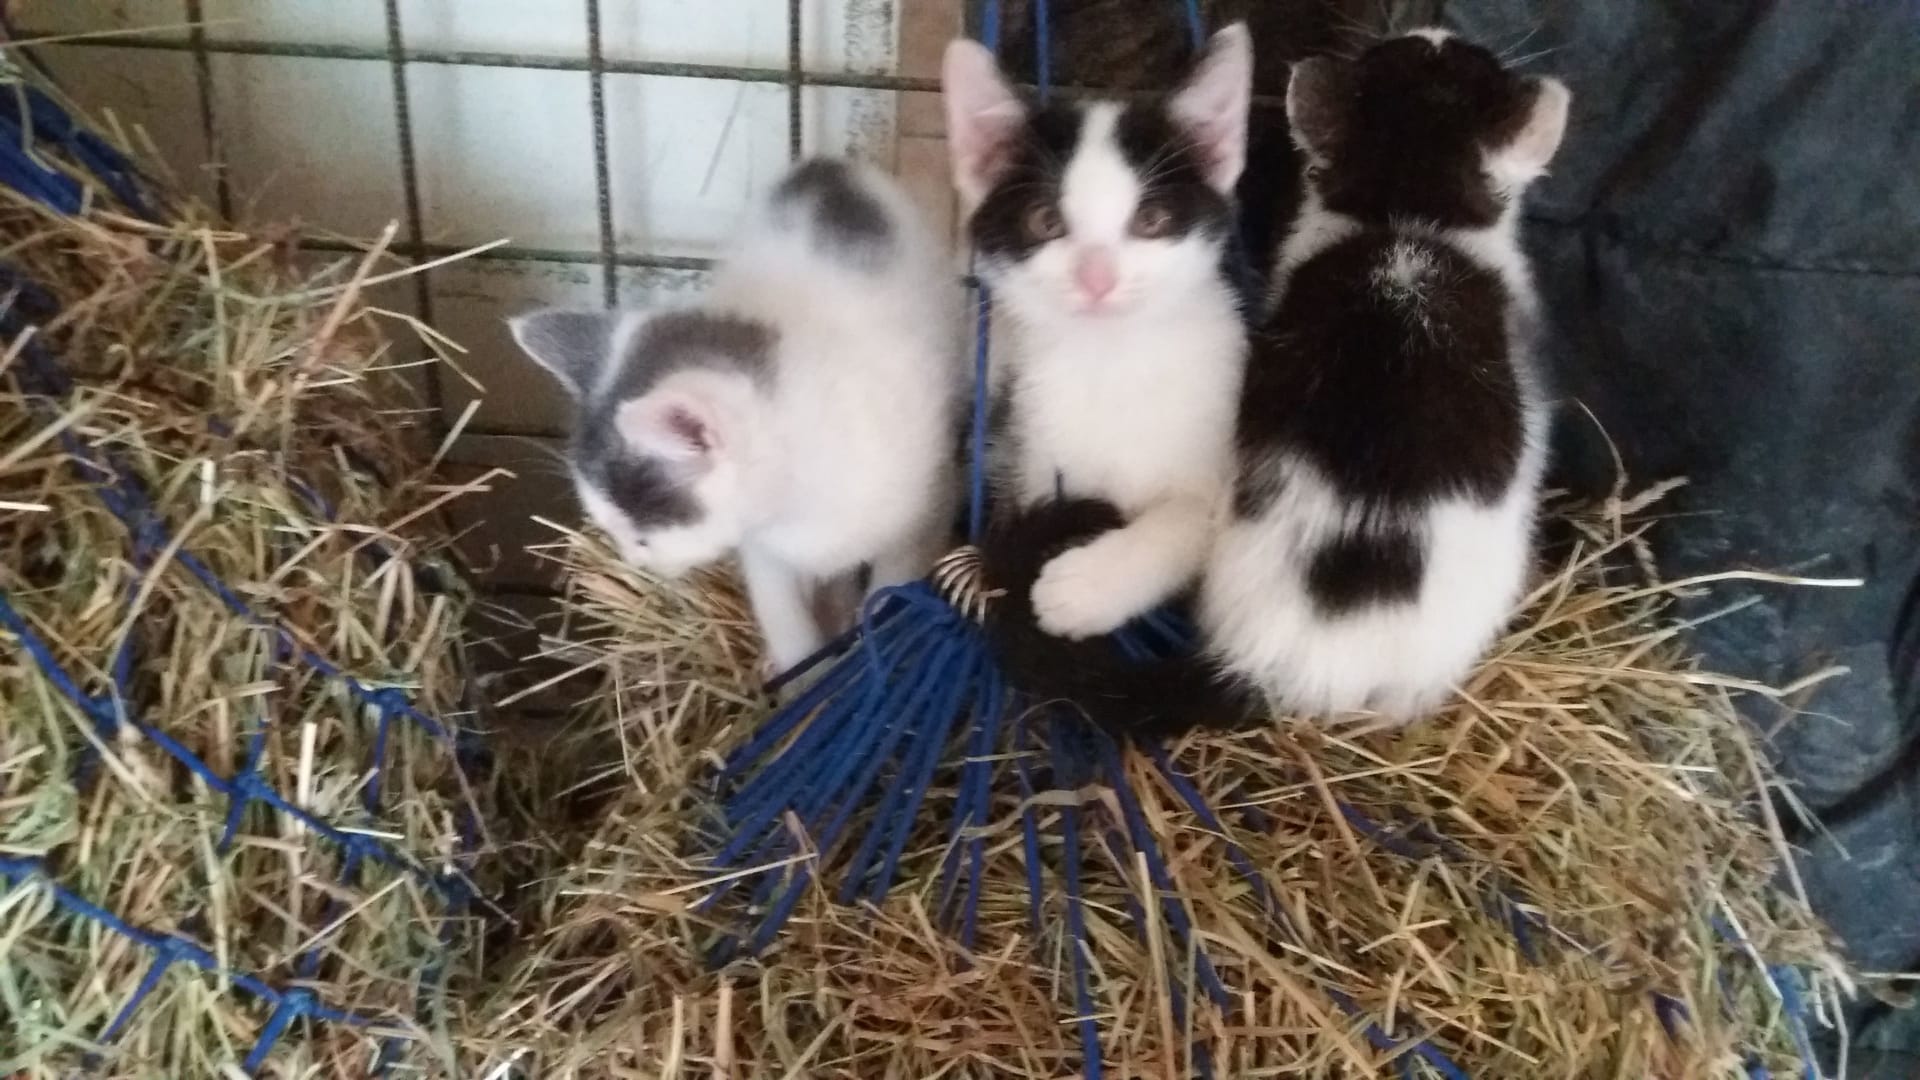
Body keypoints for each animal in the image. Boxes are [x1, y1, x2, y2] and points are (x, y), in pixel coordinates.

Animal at [508, 157, 963, 678]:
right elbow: (786, 621)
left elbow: (894, 592)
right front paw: (803, 681)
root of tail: (825, 165)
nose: (633, 562)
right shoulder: (764, 550)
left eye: (641, 538)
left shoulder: (926, 505)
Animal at [942, 22, 1254, 642]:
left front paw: (1087, 586)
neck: (1111, 359)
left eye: (1151, 221)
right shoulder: (1028, 447)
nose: (1097, 278)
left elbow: (1191, 515)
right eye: (1045, 221)